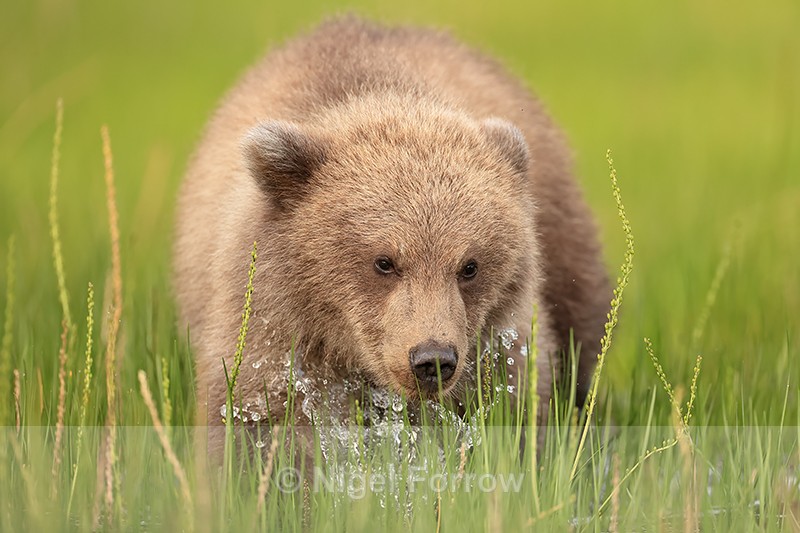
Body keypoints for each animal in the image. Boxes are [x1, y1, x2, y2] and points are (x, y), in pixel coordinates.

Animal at [173, 16, 611, 459]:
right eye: (384, 261)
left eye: (469, 266)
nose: (432, 359)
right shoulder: (271, 325)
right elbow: (258, 417)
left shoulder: (500, 349)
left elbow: (513, 413)